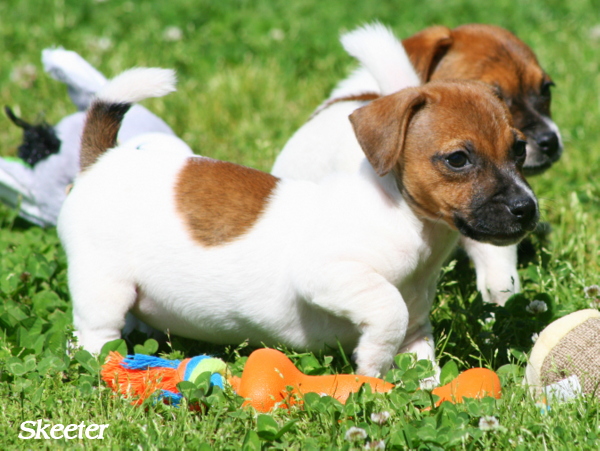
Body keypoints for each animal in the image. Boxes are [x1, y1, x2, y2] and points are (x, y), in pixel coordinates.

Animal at [58, 67, 540, 378]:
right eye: (458, 159)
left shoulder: (418, 328)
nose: (527, 209)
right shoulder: (327, 274)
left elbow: (420, 360)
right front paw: (371, 367)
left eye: (518, 149)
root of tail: (101, 159)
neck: (406, 219)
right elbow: (388, 310)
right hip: (103, 287)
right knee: (93, 337)